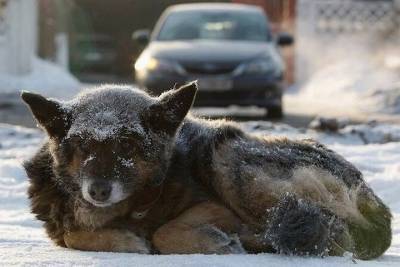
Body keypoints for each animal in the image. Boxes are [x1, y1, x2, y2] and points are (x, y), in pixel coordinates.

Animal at [21, 82, 390, 260]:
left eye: (126, 145)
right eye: (83, 146)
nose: (97, 190)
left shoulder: (216, 207)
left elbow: (164, 231)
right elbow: (72, 234)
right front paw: (123, 240)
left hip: (229, 161)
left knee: (333, 233)